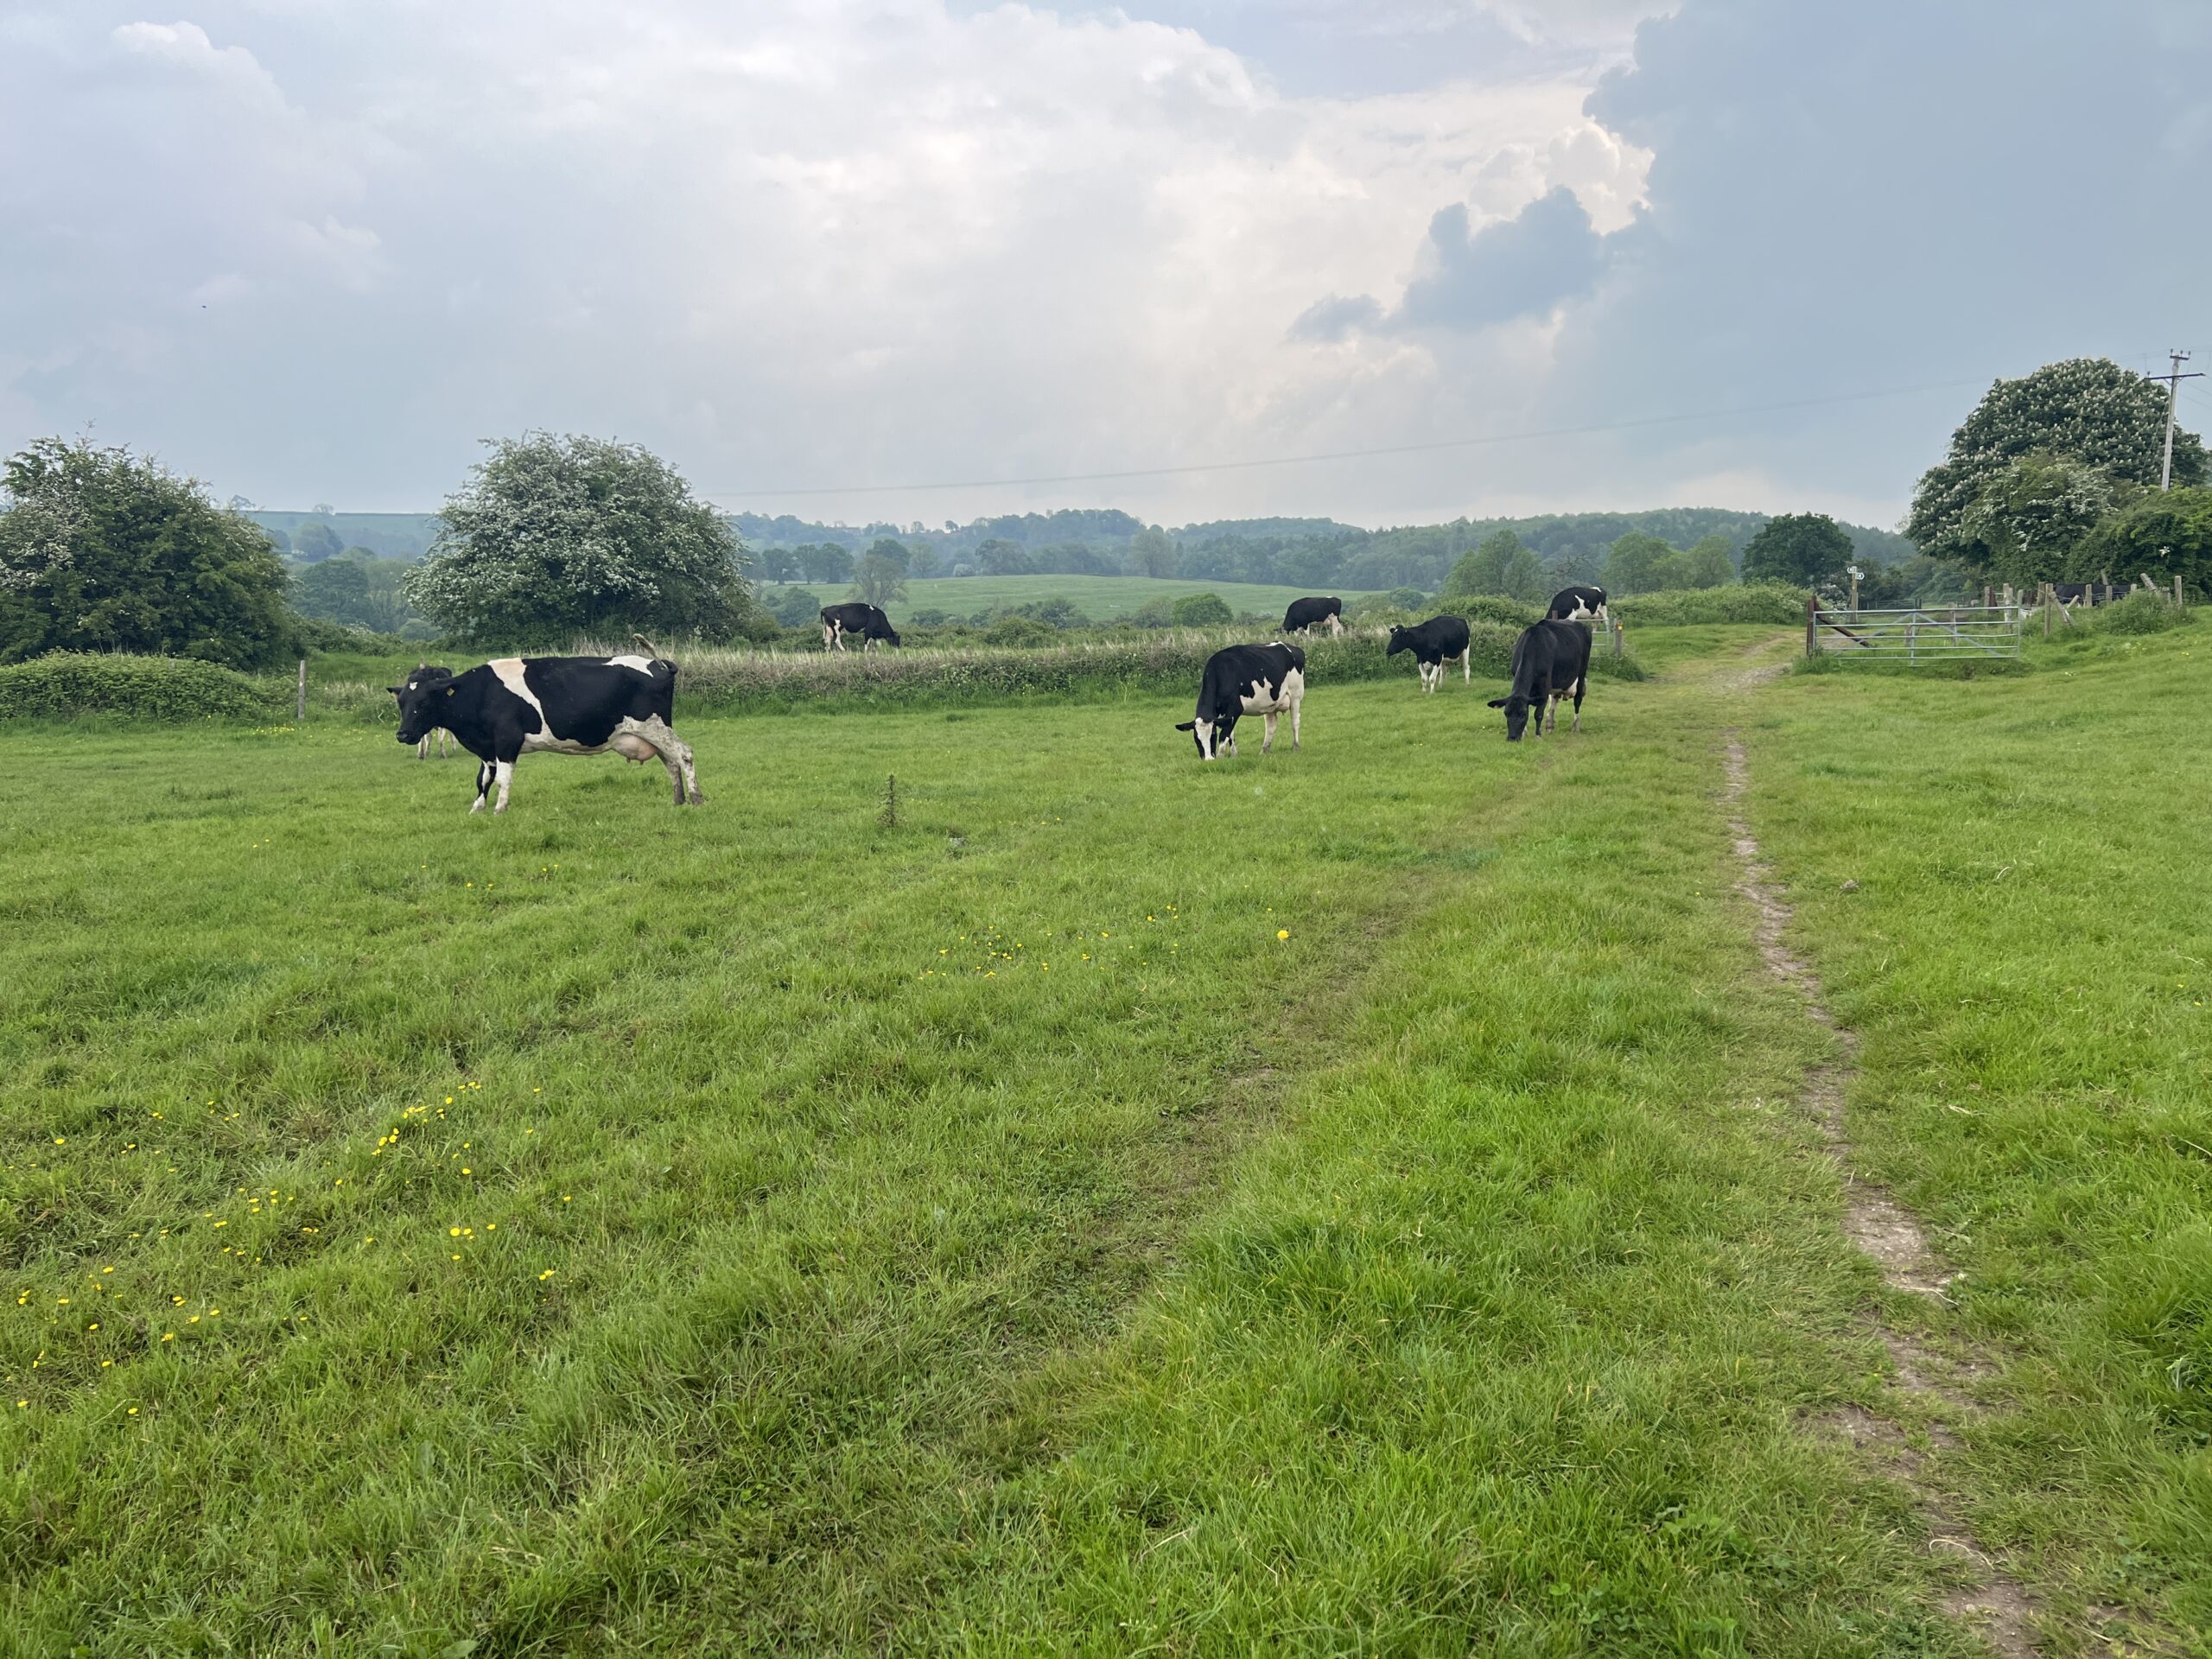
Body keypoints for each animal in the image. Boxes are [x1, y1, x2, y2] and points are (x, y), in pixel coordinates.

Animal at [389, 658, 698, 823]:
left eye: (424, 702)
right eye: (402, 702)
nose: (402, 734)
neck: (483, 693)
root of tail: (658, 664)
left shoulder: (506, 740)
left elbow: (503, 778)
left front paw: (500, 809)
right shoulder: (488, 747)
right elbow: (483, 778)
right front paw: (477, 807)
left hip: (655, 727)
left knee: (684, 754)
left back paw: (696, 798)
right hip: (652, 733)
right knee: (671, 762)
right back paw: (678, 800)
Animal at [1176, 645, 1309, 765]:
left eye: (1213, 735)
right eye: (1196, 738)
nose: (1209, 759)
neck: (1222, 671)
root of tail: (1294, 648)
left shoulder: (1235, 709)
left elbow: (1224, 734)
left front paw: (1220, 756)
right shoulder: (1223, 715)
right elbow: (1230, 734)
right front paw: (1234, 754)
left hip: (1296, 695)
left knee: (1295, 722)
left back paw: (1296, 747)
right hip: (1270, 704)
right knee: (1271, 726)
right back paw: (1264, 750)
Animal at [1486, 619, 1592, 743]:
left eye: (1523, 714)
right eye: (1506, 713)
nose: (1512, 738)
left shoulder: (1545, 688)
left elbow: (1538, 714)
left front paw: (1538, 735)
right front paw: (1524, 733)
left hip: (1582, 672)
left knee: (1577, 699)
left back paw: (1575, 726)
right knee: (1555, 699)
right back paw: (1550, 725)